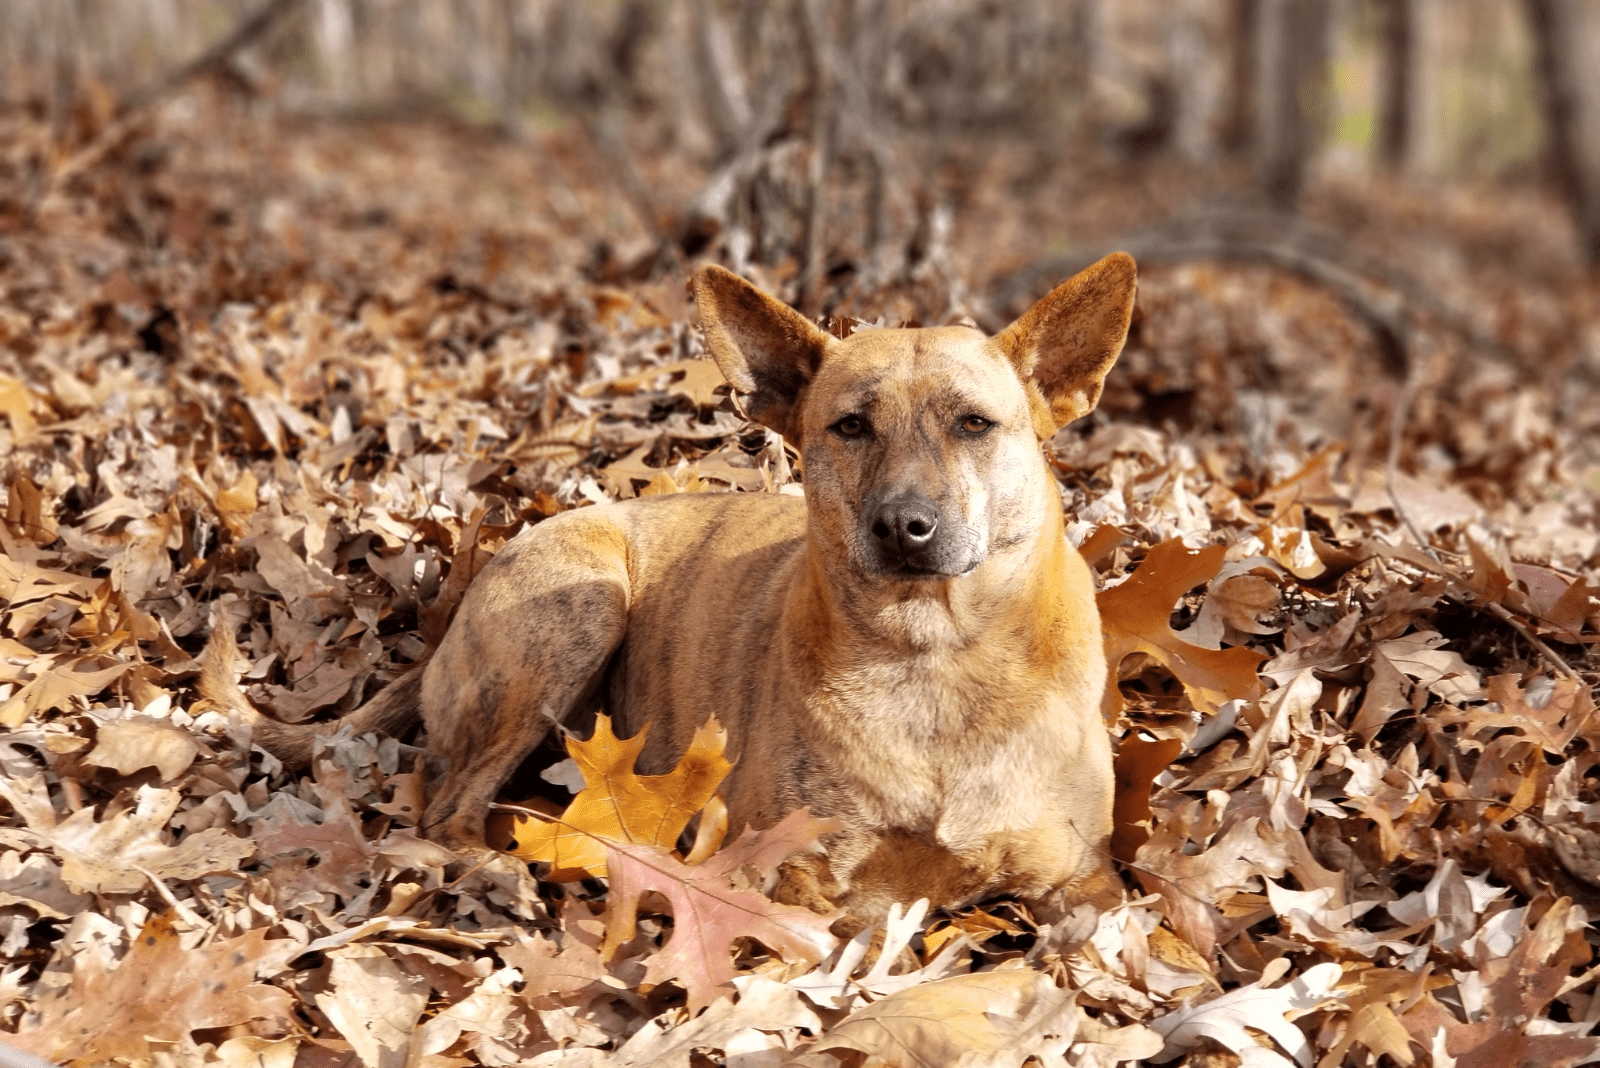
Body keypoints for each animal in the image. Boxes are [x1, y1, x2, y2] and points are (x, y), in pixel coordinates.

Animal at [252, 254, 1139, 920]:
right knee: (447, 809)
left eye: (974, 424)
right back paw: (500, 873)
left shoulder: (1085, 878)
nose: (903, 526)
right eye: (850, 426)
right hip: (578, 608)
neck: (937, 658)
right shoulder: (791, 873)